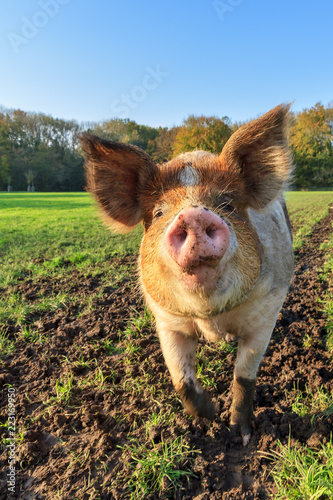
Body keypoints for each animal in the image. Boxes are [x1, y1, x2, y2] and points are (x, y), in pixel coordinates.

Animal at [80, 104, 294, 446]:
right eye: (158, 212)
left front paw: (242, 436)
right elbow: (180, 379)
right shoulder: (167, 320)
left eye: (227, 204)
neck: (210, 317)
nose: (193, 215)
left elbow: (244, 377)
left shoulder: (266, 312)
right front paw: (210, 414)